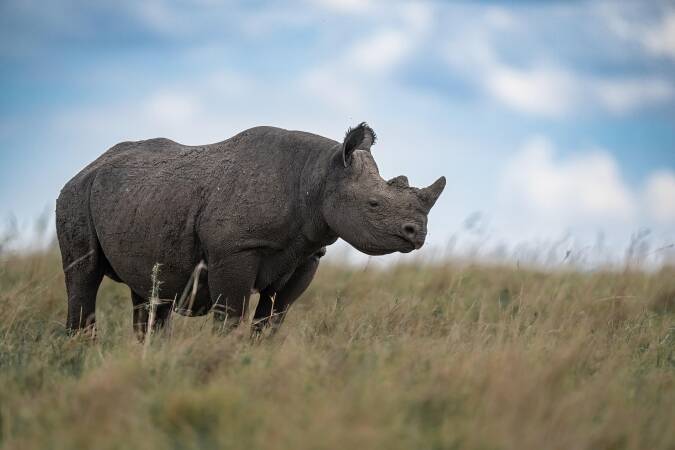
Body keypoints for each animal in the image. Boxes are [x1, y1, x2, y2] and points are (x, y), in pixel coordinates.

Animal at [56, 123, 445, 337]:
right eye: (374, 205)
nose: (417, 234)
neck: (318, 175)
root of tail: (88, 166)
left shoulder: (307, 255)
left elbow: (272, 318)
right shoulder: (235, 248)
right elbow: (230, 316)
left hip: (140, 200)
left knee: (149, 291)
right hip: (75, 195)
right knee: (84, 274)